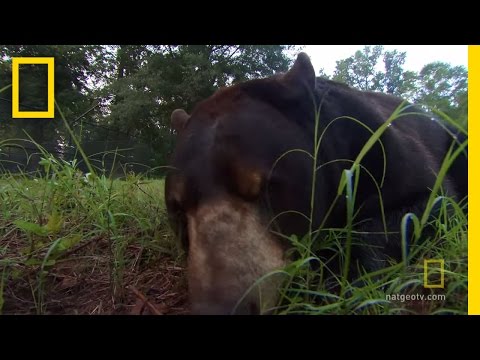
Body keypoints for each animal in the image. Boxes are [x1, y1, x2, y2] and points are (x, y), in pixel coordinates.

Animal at [166, 52, 468, 314]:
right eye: (178, 210)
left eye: (266, 187)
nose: (221, 308)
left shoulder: (379, 144)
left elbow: (422, 208)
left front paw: (338, 278)